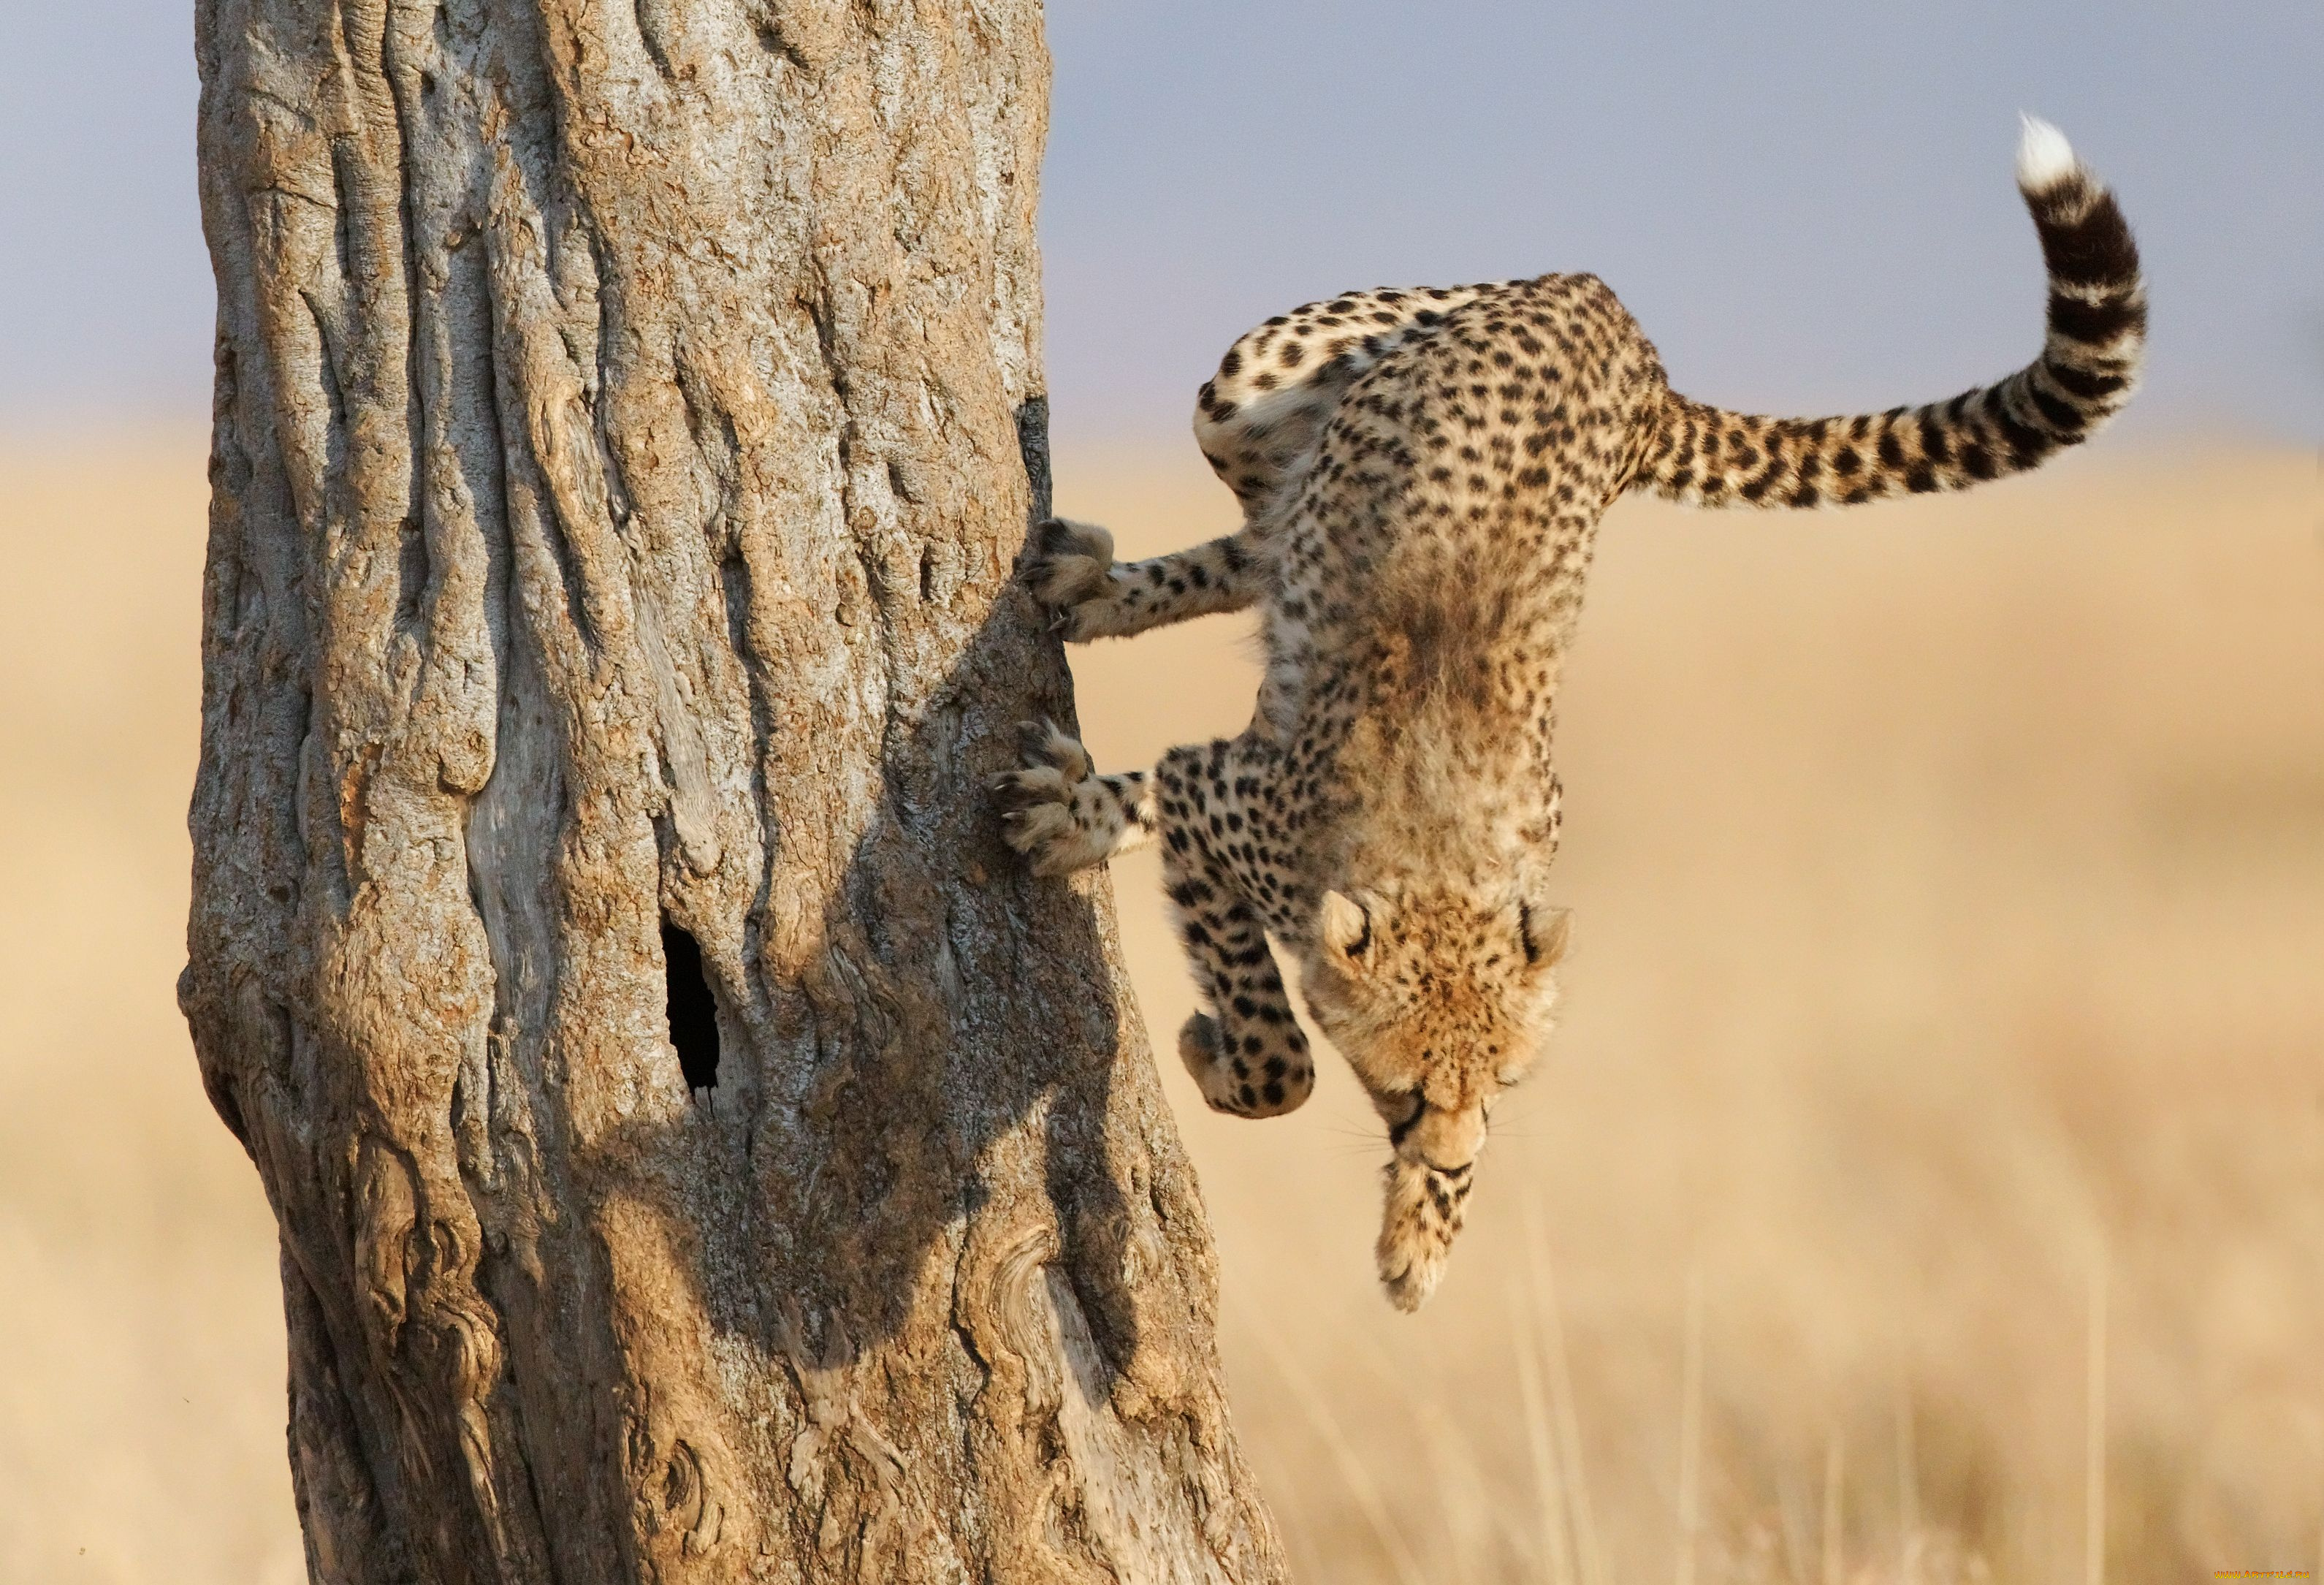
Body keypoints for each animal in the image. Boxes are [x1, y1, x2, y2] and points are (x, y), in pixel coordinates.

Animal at [994, 117, 2138, 1310]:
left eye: (1497, 1083)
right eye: (1404, 1089)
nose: (1451, 1154)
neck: (1438, 855)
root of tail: (1621, 329)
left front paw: (1421, 1238)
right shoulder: (1222, 802)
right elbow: (1277, 1053)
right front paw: (1214, 1040)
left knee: (1267, 538)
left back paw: (1093, 604)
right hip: (1255, 374)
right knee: (1262, 525)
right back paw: (1092, 615)